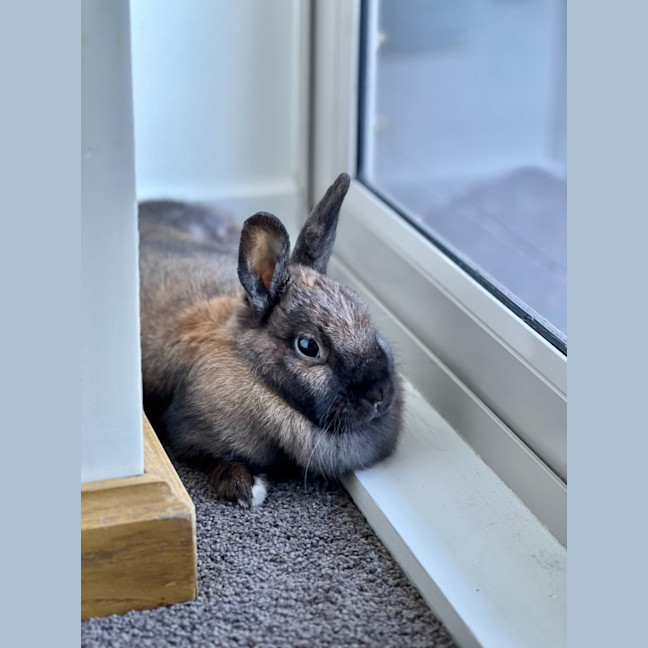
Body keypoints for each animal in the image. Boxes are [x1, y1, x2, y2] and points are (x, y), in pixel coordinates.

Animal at [138, 173, 403, 507]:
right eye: (308, 346)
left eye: (363, 311)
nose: (379, 393)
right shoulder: (187, 432)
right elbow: (211, 457)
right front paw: (245, 488)